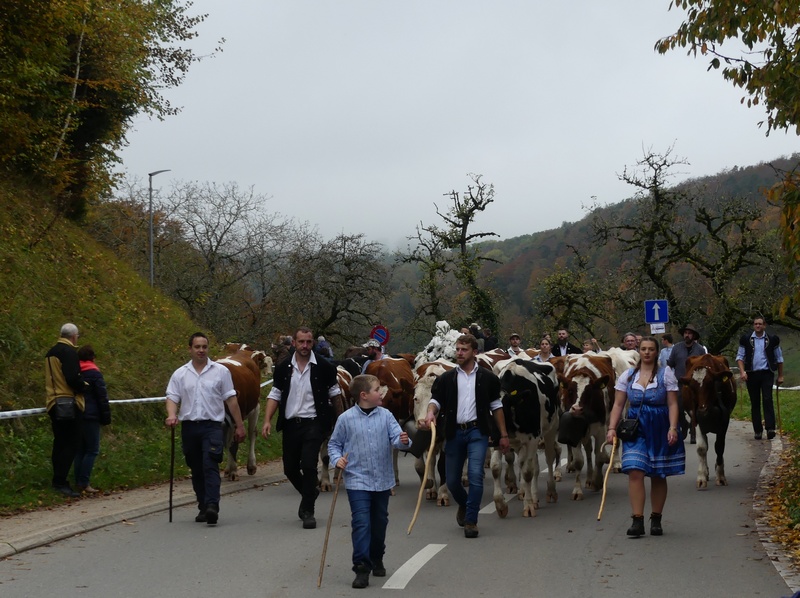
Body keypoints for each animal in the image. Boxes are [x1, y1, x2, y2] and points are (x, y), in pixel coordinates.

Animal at [217, 346, 265, 480]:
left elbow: (233, 444)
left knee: (252, 433)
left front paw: (234, 471)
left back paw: (251, 465)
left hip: (255, 406)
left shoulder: (234, 419)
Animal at [492, 359, 561, 518]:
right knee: (530, 464)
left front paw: (528, 506)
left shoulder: (533, 438)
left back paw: (550, 491)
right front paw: (500, 505)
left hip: (551, 428)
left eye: (501, 412)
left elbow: (527, 472)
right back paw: (530, 494)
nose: (489, 439)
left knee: (549, 458)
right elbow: (496, 468)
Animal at [557, 353, 618, 500]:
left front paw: (597, 482)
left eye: (589, 392)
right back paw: (589, 478)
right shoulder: (574, 432)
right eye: (570, 390)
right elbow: (579, 460)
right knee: (589, 449)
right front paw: (577, 490)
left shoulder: (601, 428)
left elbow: (600, 456)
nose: (577, 409)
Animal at [679, 354, 737, 488]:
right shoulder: (696, 419)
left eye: (711, 384)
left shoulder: (725, 420)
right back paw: (706, 472)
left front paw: (720, 476)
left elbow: (719, 446)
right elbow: (701, 448)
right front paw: (701, 477)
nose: (702, 410)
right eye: (692, 387)